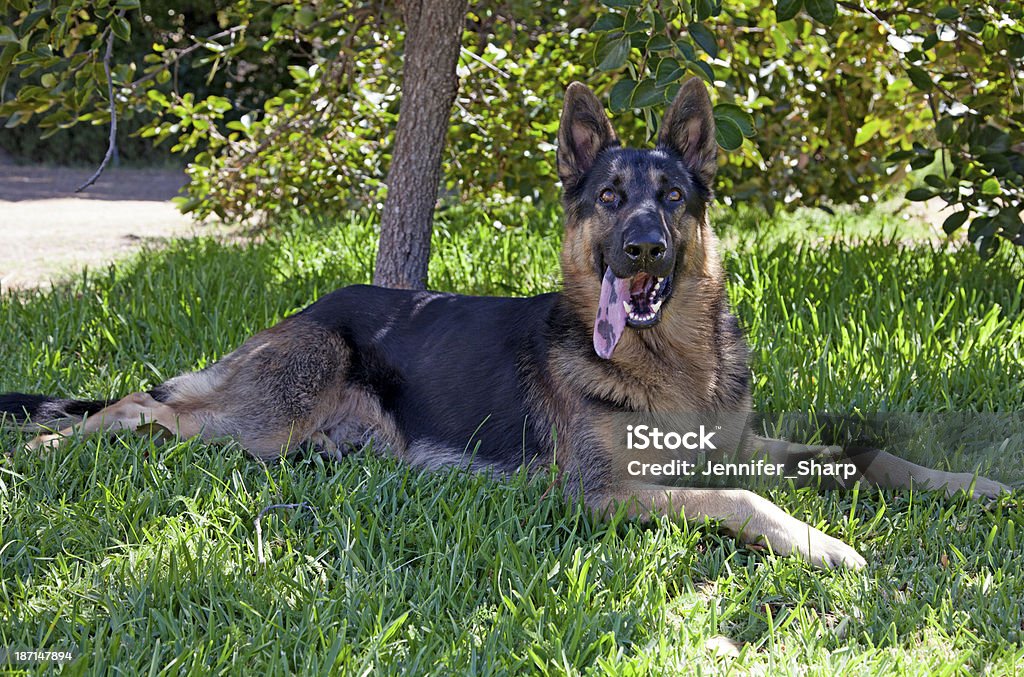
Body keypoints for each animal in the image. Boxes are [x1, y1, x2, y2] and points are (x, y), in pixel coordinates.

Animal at [0, 76, 1007, 569]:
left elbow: (863, 454)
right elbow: (745, 500)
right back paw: (52, 447)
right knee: (143, 405)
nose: (641, 250)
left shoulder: (738, 441)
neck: (669, 359)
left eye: (674, 198)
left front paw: (966, 483)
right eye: (610, 198)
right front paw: (824, 542)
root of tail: (309, 307)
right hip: (264, 415)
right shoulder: (605, 493)